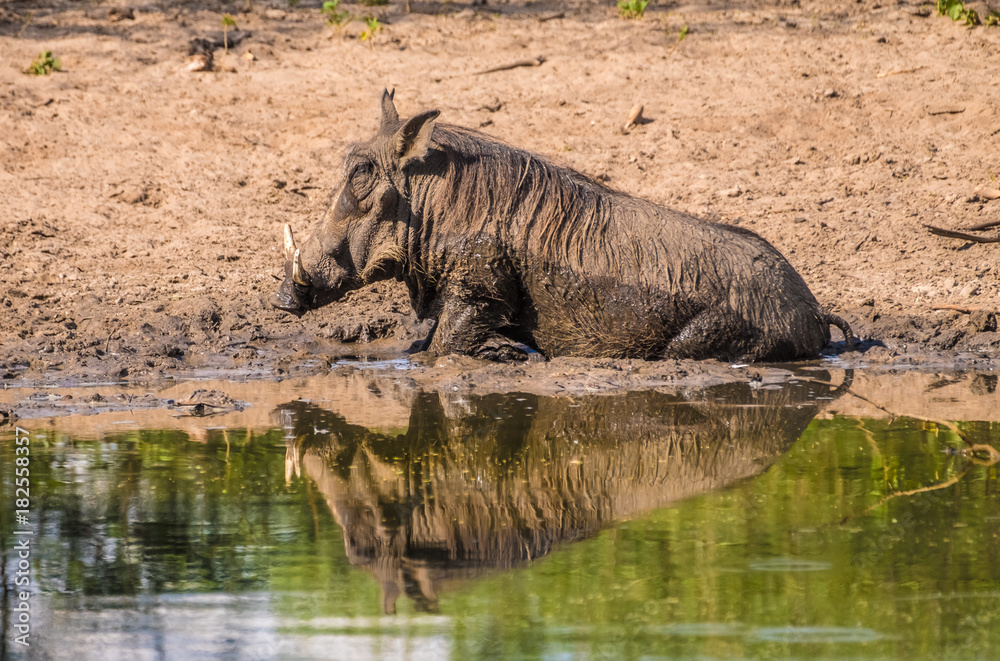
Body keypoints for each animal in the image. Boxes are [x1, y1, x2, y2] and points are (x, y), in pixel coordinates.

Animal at [273, 90, 853, 362]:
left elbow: (440, 352)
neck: (438, 208)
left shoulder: (478, 293)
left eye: (362, 174)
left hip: (704, 344)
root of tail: (814, 310)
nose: (281, 297)